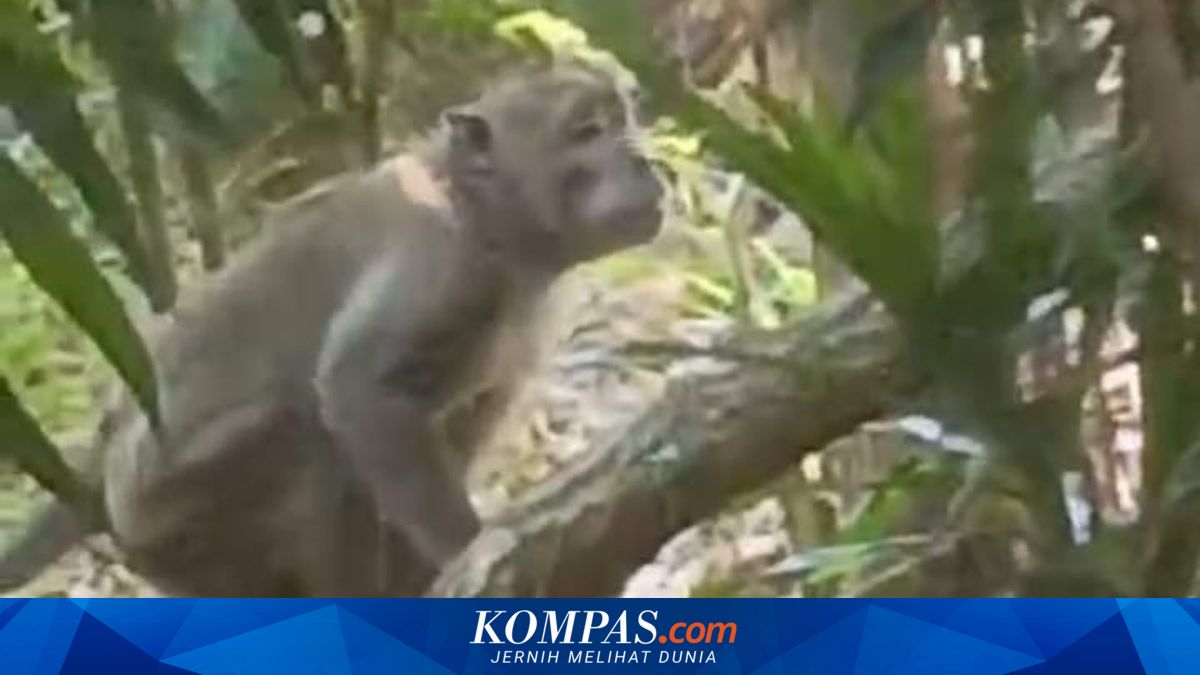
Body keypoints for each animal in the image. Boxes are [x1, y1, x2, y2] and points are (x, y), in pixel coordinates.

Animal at [0, 63, 662, 596]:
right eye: (586, 131)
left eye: (624, 118)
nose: (642, 159)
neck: (482, 214)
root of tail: (100, 459)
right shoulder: (441, 261)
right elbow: (356, 390)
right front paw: (468, 548)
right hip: (165, 515)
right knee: (308, 434)